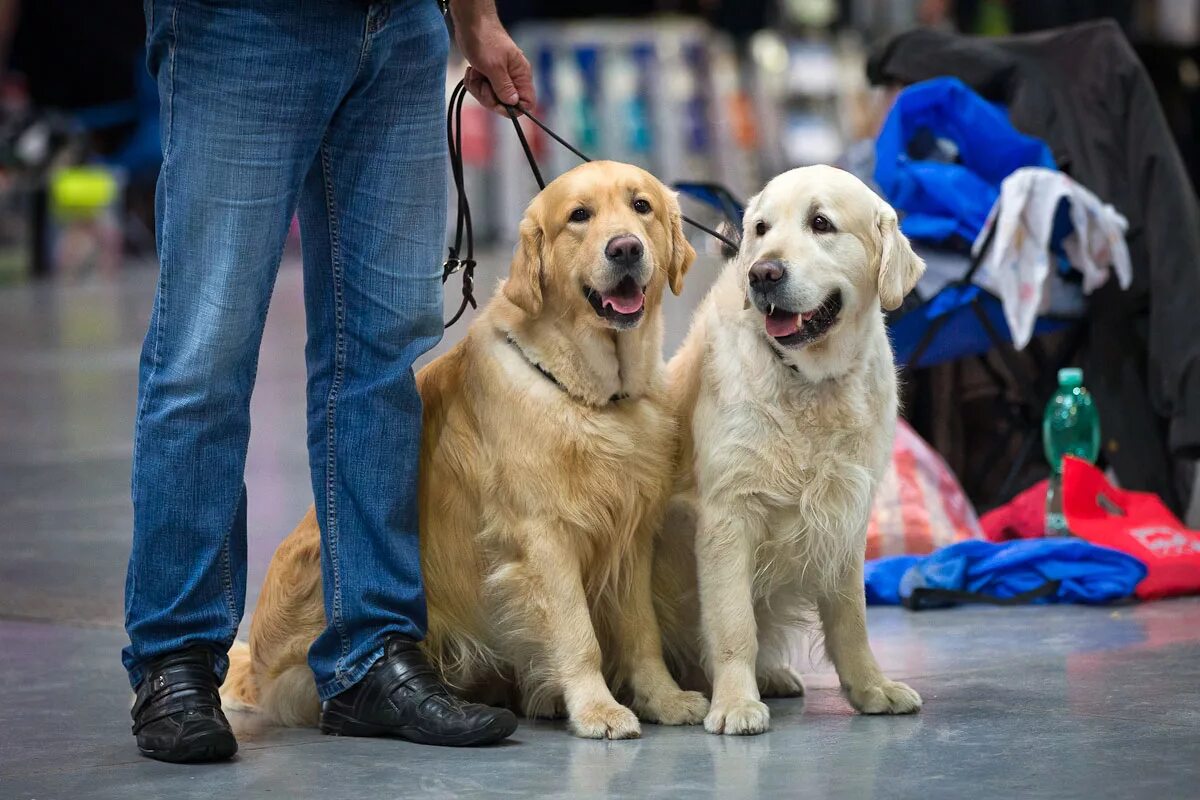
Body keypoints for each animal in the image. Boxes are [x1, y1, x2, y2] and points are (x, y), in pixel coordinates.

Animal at [225, 160, 705, 738]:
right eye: (579, 216)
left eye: (641, 206)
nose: (626, 248)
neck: (592, 395)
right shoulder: (543, 535)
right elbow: (578, 634)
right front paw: (597, 709)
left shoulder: (630, 534)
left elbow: (642, 633)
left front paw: (664, 698)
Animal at [657, 165, 926, 734]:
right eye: (760, 228)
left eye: (821, 223)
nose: (762, 273)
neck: (808, 379)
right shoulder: (727, 516)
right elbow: (734, 624)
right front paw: (736, 704)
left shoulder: (846, 513)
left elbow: (852, 619)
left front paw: (872, 688)